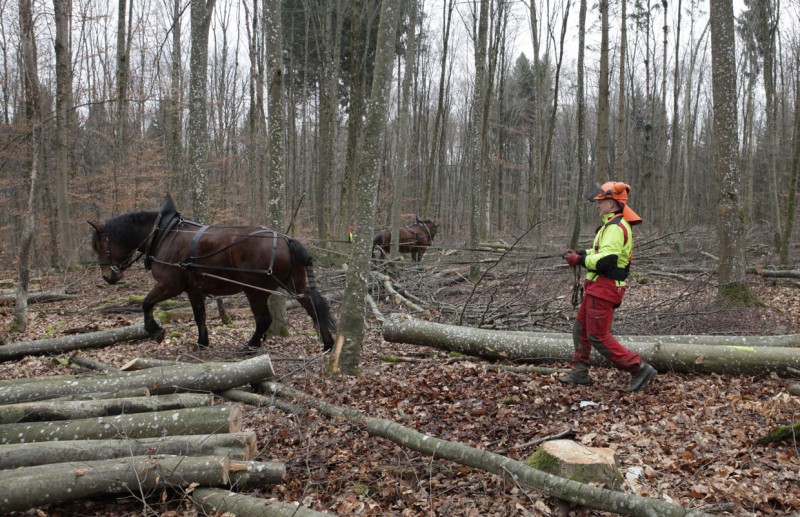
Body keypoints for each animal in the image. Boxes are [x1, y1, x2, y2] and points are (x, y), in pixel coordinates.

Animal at [89, 194, 336, 350]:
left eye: (100, 245)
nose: (107, 276)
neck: (165, 234)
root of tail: (286, 239)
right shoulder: (193, 289)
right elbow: (199, 315)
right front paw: (202, 342)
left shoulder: (170, 284)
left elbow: (146, 303)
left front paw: (156, 331)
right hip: (295, 284)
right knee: (312, 306)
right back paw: (328, 344)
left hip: (254, 290)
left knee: (264, 319)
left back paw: (250, 346)